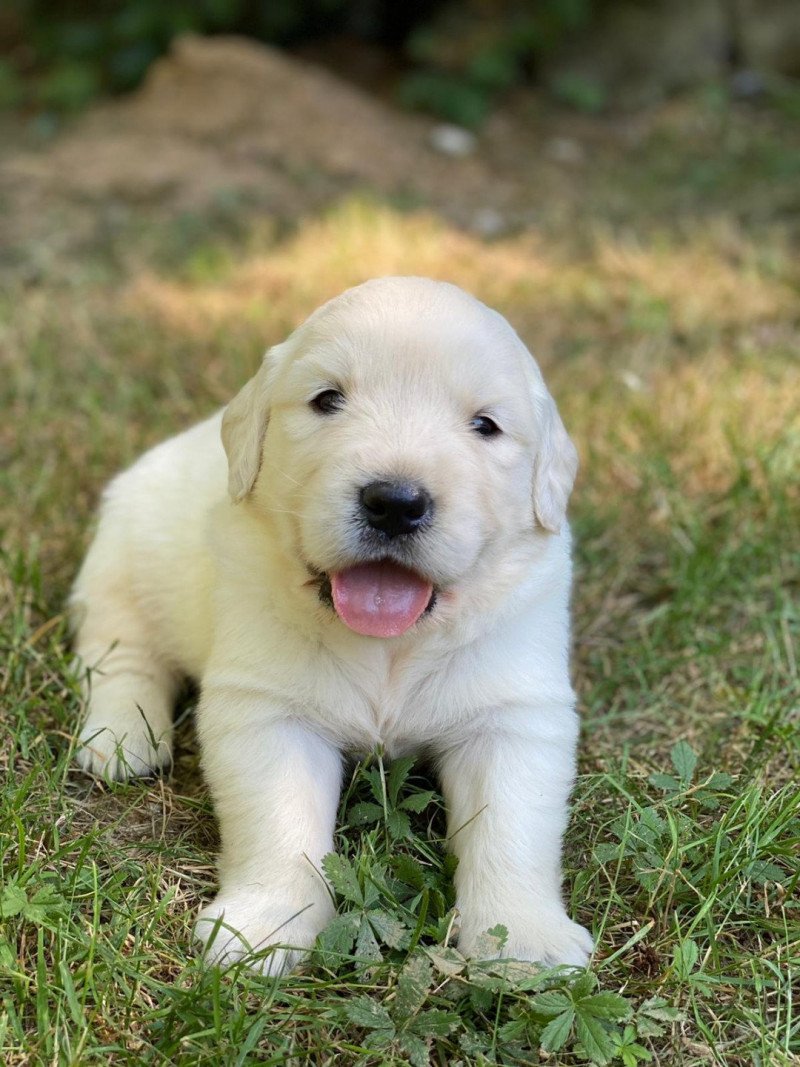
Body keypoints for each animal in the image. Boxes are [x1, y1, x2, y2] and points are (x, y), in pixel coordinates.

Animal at [70, 277, 597, 977]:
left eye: (485, 425)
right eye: (328, 400)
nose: (395, 502)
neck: (391, 646)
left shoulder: (514, 712)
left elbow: (511, 825)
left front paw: (524, 939)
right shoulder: (268, 711)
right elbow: (278, 822)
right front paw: (263, 925)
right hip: (121, 566)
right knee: (121, 656)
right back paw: (122, 735)